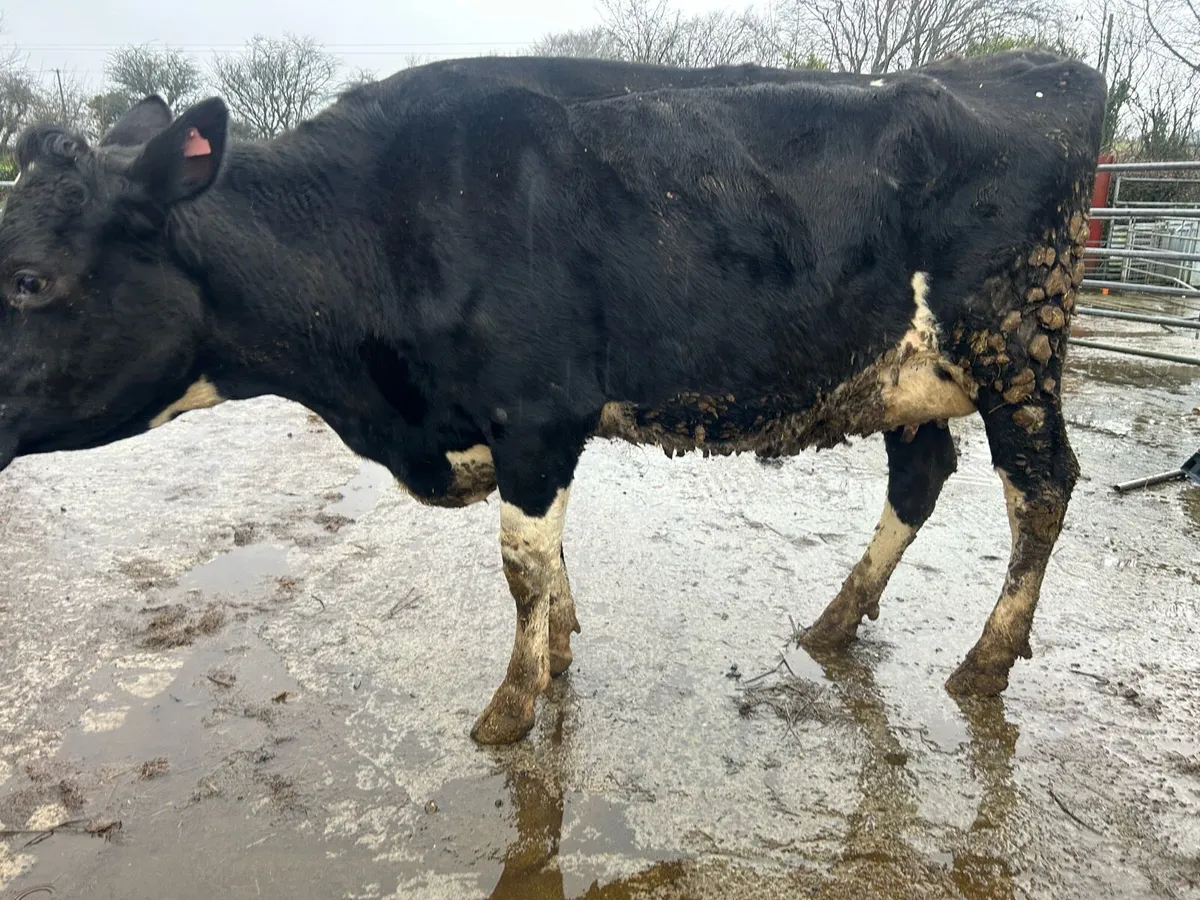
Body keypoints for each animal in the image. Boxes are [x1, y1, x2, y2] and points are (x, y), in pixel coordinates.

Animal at [0, 51, 1106, 745]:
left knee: (1043, 486)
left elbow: (520, 565)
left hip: (1014, 343)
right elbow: (548, 558)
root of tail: (1036, 70)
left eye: (29, 282)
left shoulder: (538, 412)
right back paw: (835, 624)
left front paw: (511, 705)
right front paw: (560, 653)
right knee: (923, 474)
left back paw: (985, 662)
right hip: (909, 373)